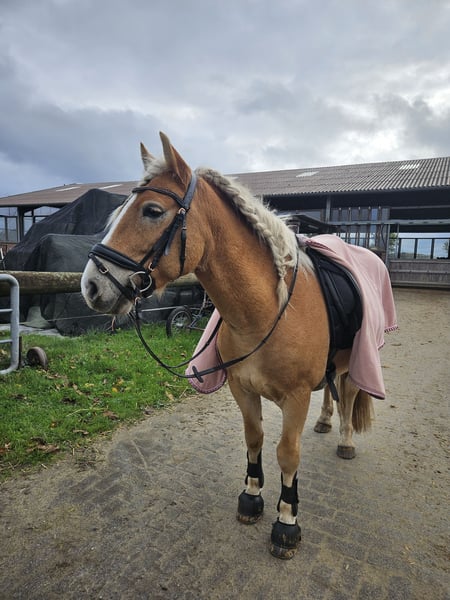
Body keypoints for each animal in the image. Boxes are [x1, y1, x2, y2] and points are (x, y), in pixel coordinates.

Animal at [81, 132, 395, 559]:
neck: (267, 312)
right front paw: (251, 497)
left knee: (347, 393)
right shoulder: (241, 389)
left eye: (152, 211)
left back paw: (345, 437)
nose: (91, 286)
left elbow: (287, 453)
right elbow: (254, 439)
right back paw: (325, 421)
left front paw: (286, 521)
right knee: (331, 393)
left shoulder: (295, 397)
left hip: (357, 360)